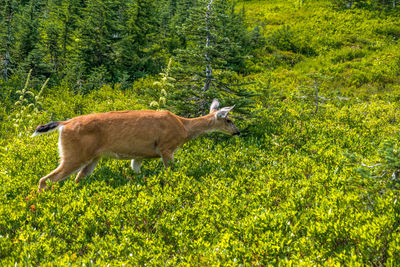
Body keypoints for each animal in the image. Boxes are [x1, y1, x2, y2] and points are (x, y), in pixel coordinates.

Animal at [31, 100, 239, 193]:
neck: (184, 127)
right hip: (74, 153)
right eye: (229, 120)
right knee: (45, 179)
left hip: (92, 158)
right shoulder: (166, 147)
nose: (238, 132)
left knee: (77, 179)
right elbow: (171, 171)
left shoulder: (138, 156)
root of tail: (64, 123)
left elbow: (136, 173)